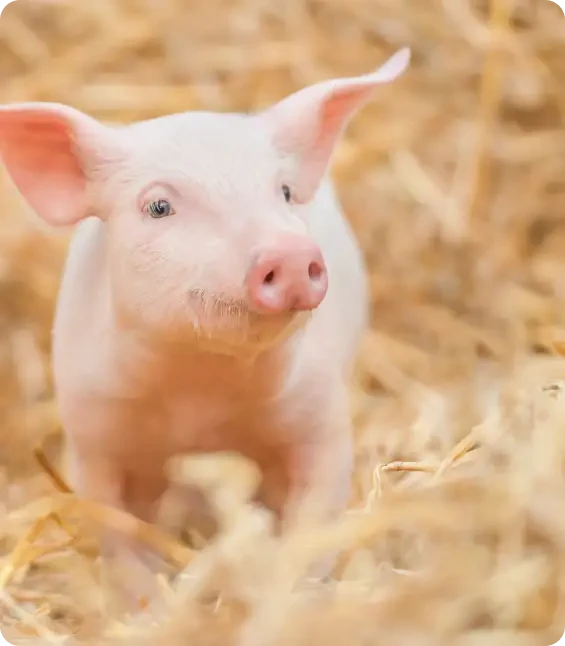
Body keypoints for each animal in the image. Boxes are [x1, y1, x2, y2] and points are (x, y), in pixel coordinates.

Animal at [0, 47, 410, 600]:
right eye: (158, 206)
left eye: (283, 192)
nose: (289, 252)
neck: (199, 395)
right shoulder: (92, 433)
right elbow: (116, 530)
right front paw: (151, 603)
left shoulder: (320, 416)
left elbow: (315, 514)